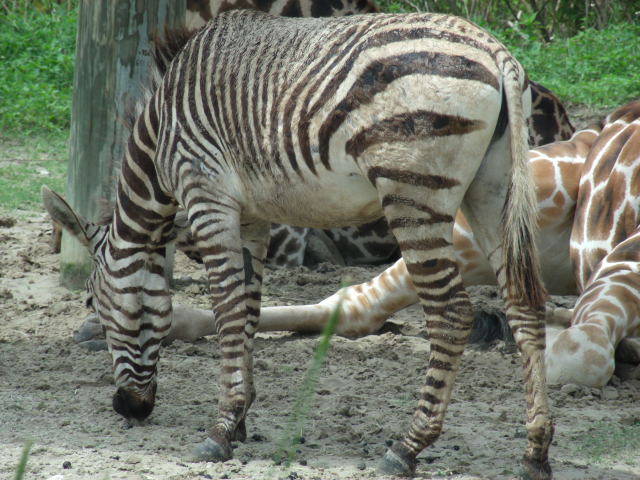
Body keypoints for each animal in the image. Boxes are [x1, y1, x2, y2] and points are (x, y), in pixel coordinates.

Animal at [43, 10, 552, 478]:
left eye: (92, 302)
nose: (128, 409)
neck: (161, 132)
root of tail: (495, 51)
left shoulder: (206, 195)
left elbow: (226, 308)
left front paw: (220, 431)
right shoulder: (253, 218)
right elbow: (247, 309)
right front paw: (241, 419)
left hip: (413, 193)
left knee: (452, 314)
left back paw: (407, 447)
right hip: (493, 187)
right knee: (523, 304)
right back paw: (536, 451)